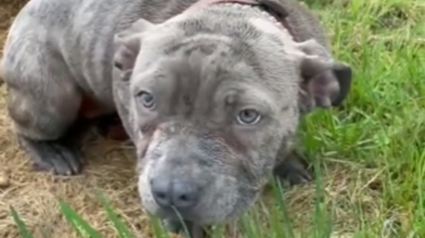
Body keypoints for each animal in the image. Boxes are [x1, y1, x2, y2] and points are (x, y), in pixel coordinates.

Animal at [0, 0, 352, 236]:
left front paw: (288, 163)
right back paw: (53, 152)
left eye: (248, 116)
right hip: (51, 95)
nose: (169, 193)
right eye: (146, 98)